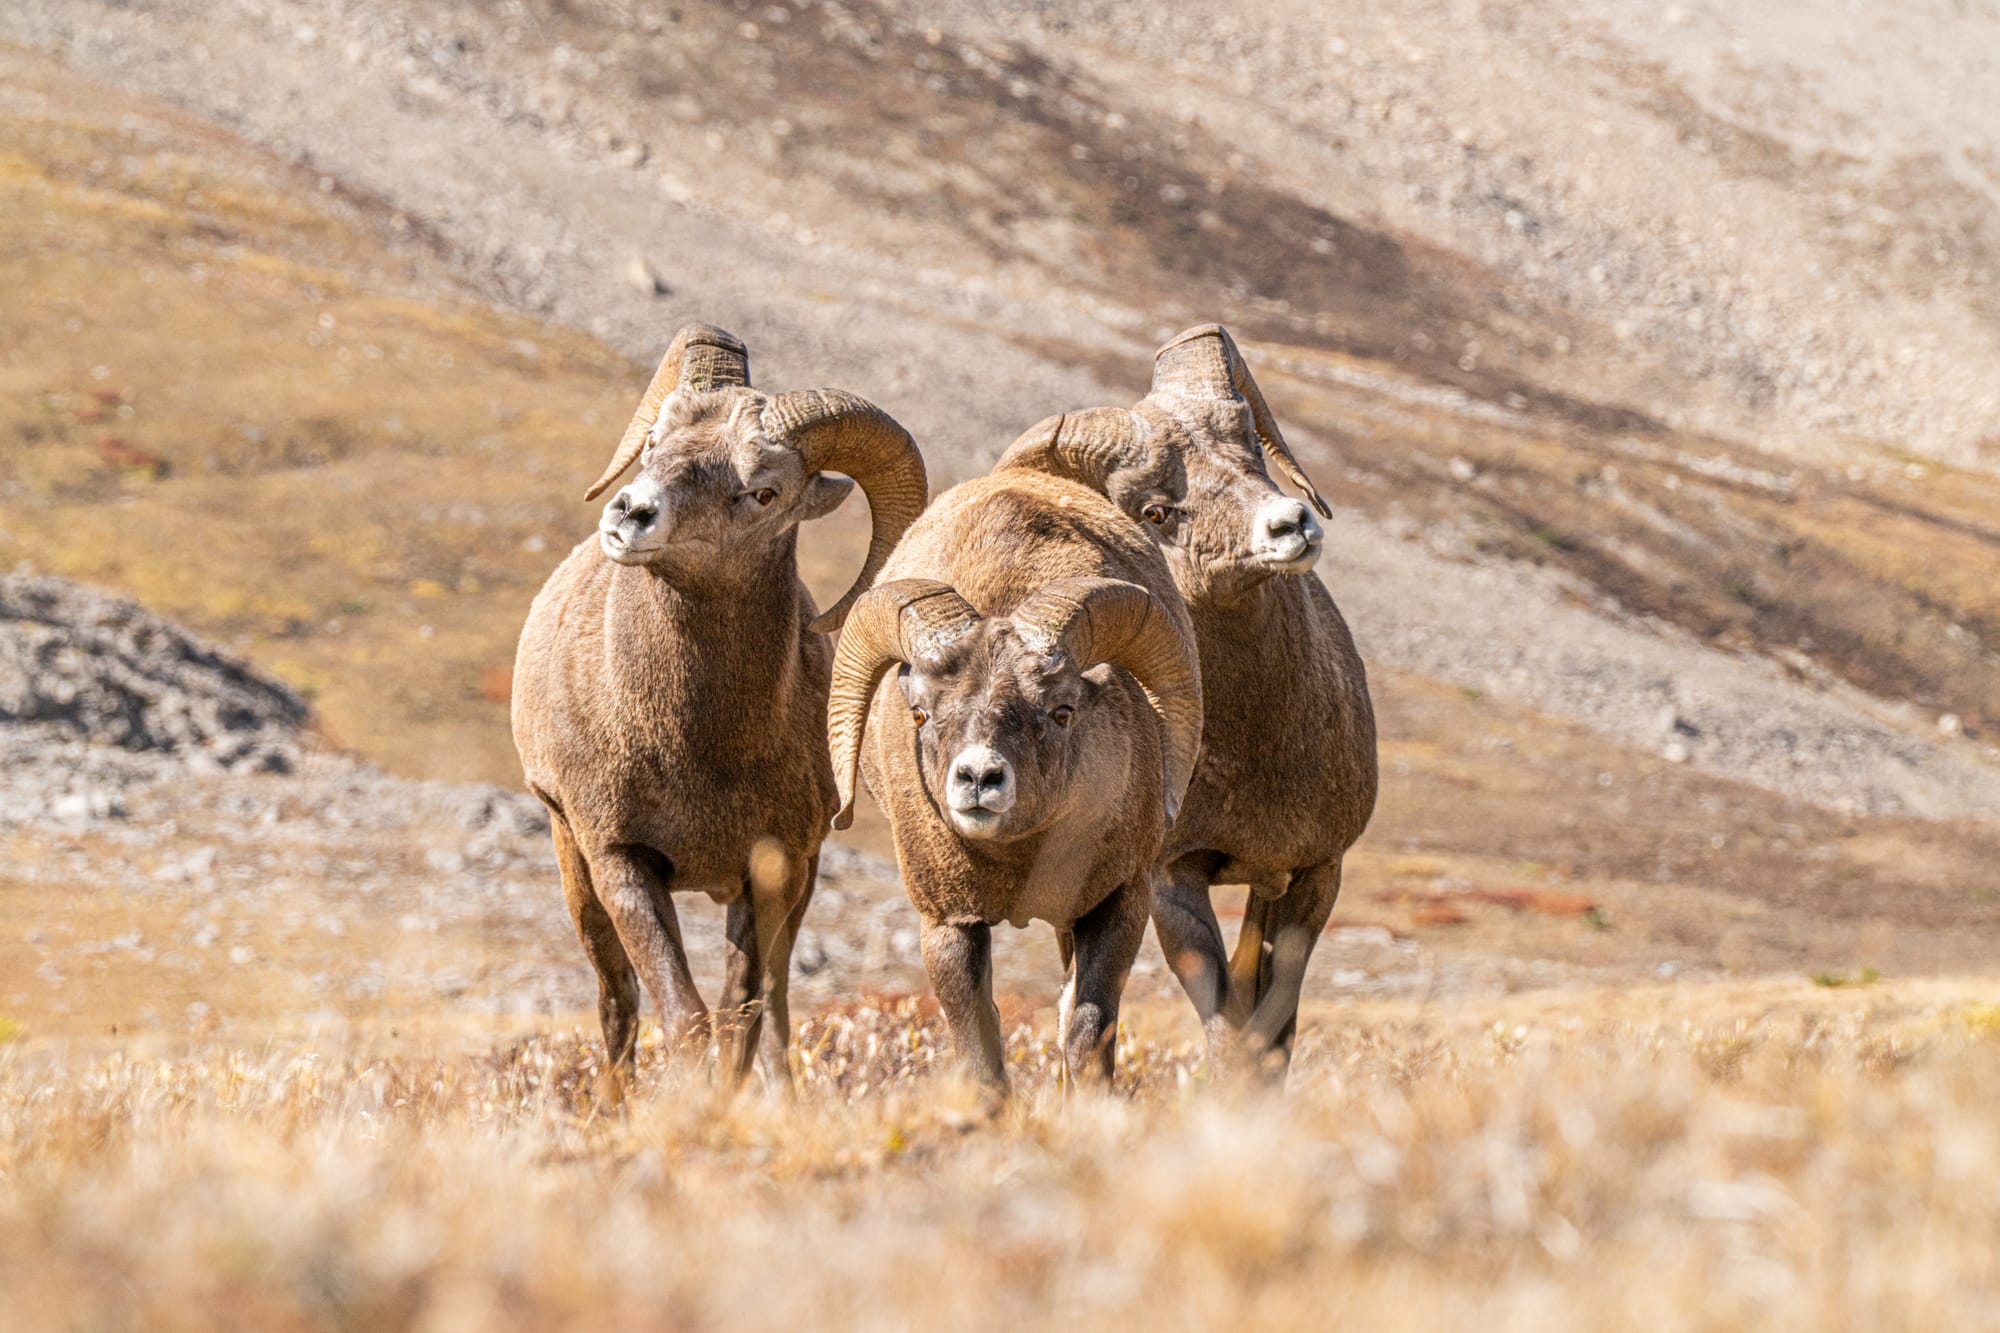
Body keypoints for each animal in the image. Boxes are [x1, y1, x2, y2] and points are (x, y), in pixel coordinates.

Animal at [512, 323, 927, 1100]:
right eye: (654, 443)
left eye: (763, 490)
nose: (631, 514)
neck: (698, 748)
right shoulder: (619, 861)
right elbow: (682, 1014)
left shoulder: (775, 870)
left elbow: (742, 1015)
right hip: (572, 862)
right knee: (617, 1003)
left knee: (779, 1009)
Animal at [824, 470, 1202, 1095]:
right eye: (920, 713)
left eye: (1062, 711)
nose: (979, 778)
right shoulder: (948, 925)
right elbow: (980, 1048)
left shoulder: (1119, 904)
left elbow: (1085, 1030)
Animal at [996, 324, 1378, 1074]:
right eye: (1155, 510)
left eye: (1249, 442)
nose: (1291, 524)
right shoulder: (1173, 883)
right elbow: (1228, 1029)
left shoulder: (1314, 874)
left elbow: (1273, 1033)